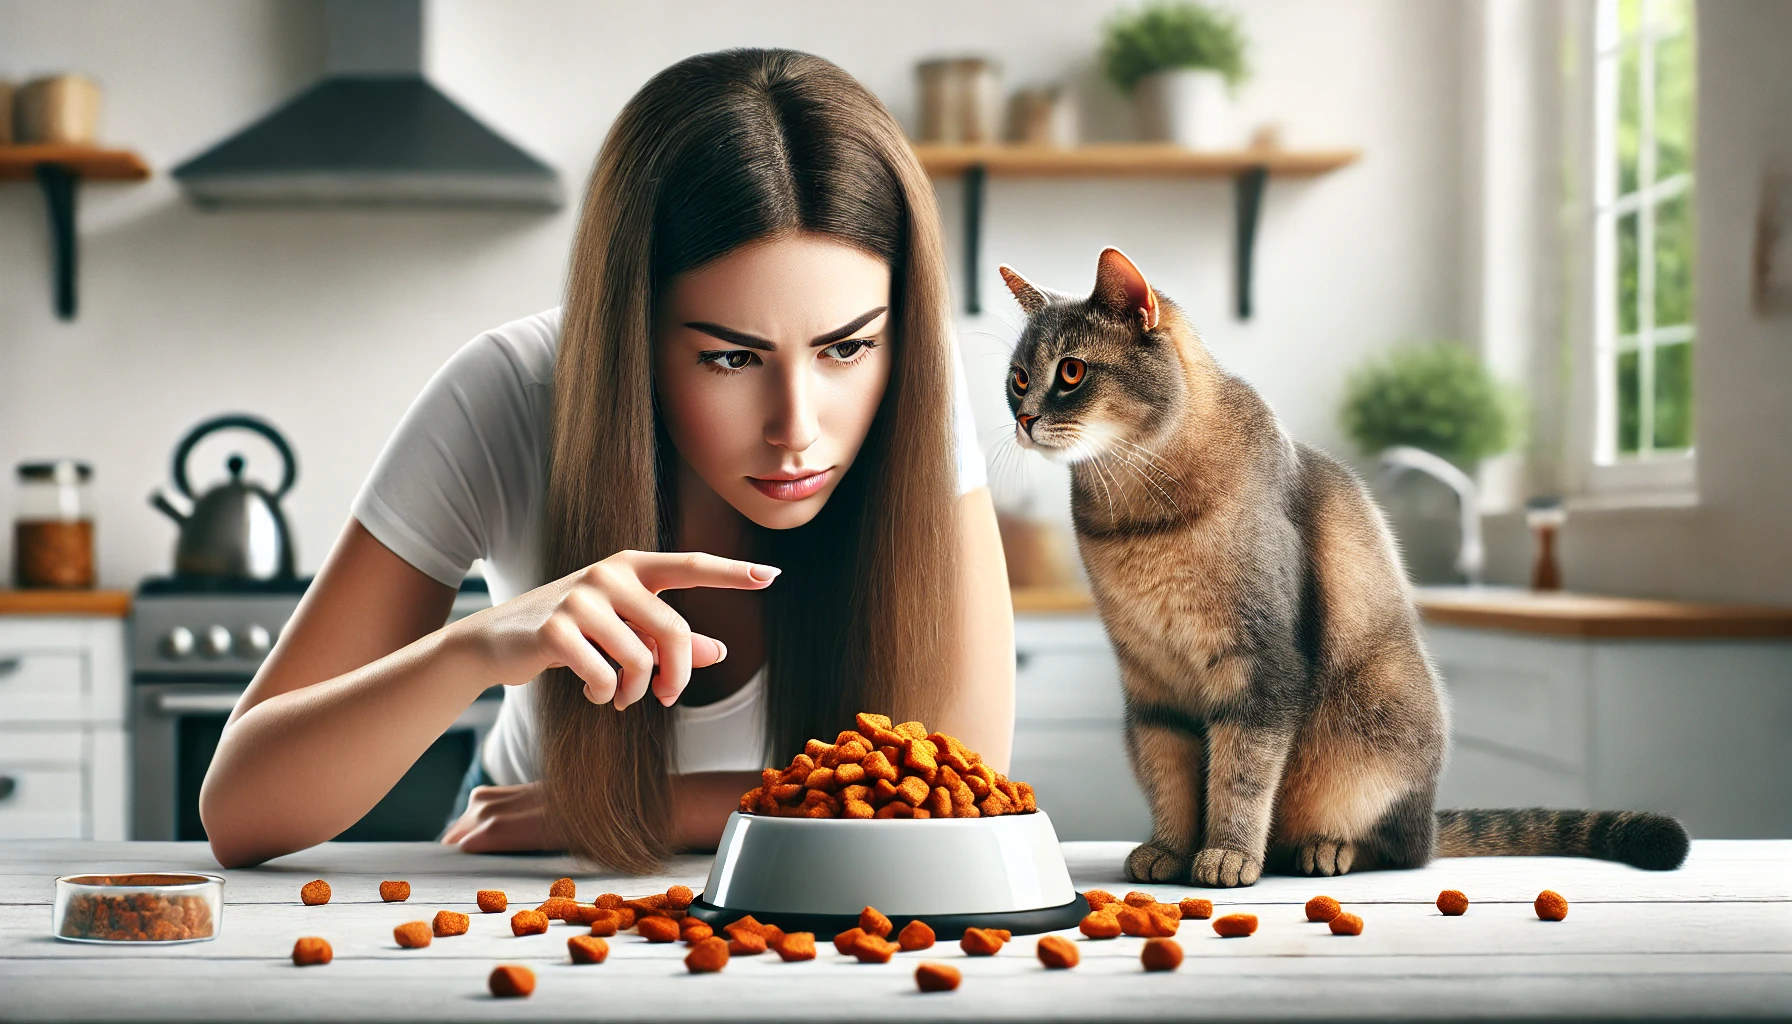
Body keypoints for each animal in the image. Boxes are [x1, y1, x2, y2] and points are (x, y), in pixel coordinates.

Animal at [1003, 251, 1684, 889]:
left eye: (1071, 372)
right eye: (1017, 378)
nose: (1024, 418)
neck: (1134, 513)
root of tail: (1431, 820)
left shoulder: (1262, 668)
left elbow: (1241, 775)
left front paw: (1227, 855)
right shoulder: (1150, 685)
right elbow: (1170, 777)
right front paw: (1170, 850)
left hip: (1377, 719)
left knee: (1400, 849)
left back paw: (1328, 849)